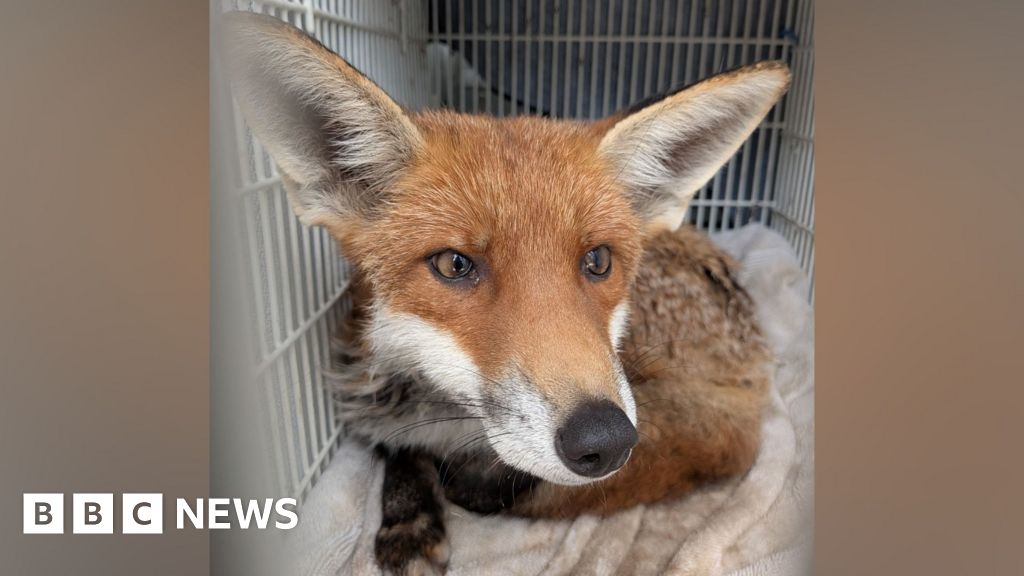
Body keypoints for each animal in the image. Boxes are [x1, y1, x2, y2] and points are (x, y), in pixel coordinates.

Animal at [223, 11, 788, 576]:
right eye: (454, 264)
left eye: (598, 261)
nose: (605, 440)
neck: (446, 413)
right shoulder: (367, 396)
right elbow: (399, 450)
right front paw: (409, 518)